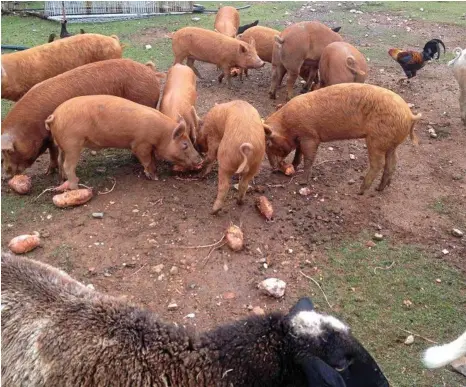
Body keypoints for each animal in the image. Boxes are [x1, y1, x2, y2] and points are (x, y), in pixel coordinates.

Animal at [0, 58, 163, 180]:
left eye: (8, 151)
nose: (5, 177)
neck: (30, 128)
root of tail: (150, 72)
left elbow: (54, 151)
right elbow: (53, 152)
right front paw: (48, 173)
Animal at [45, 94, 202, 191]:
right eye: (185, 145)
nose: (200, 159)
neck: (162, 135)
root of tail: (54, 116)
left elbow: (152, 159)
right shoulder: (140, 144)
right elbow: (146, 160)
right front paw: (155, 177)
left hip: (63, 145)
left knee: (60, 161)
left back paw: (61, 180)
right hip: (73, 144)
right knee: (68, 165)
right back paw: (77, 187)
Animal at [264, 83, 420, 196]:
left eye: (269, 144)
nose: (273, 169)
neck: (287, 125)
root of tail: (410, 114)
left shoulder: (310, 136)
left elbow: (308, 157)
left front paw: (302, 182)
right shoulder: (300, 138)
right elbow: (298, 153)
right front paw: (294, 166)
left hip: (376, 140)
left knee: (378, 164)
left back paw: (360, 191)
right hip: (391, 144)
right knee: (392, 163)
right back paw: (380, 189)